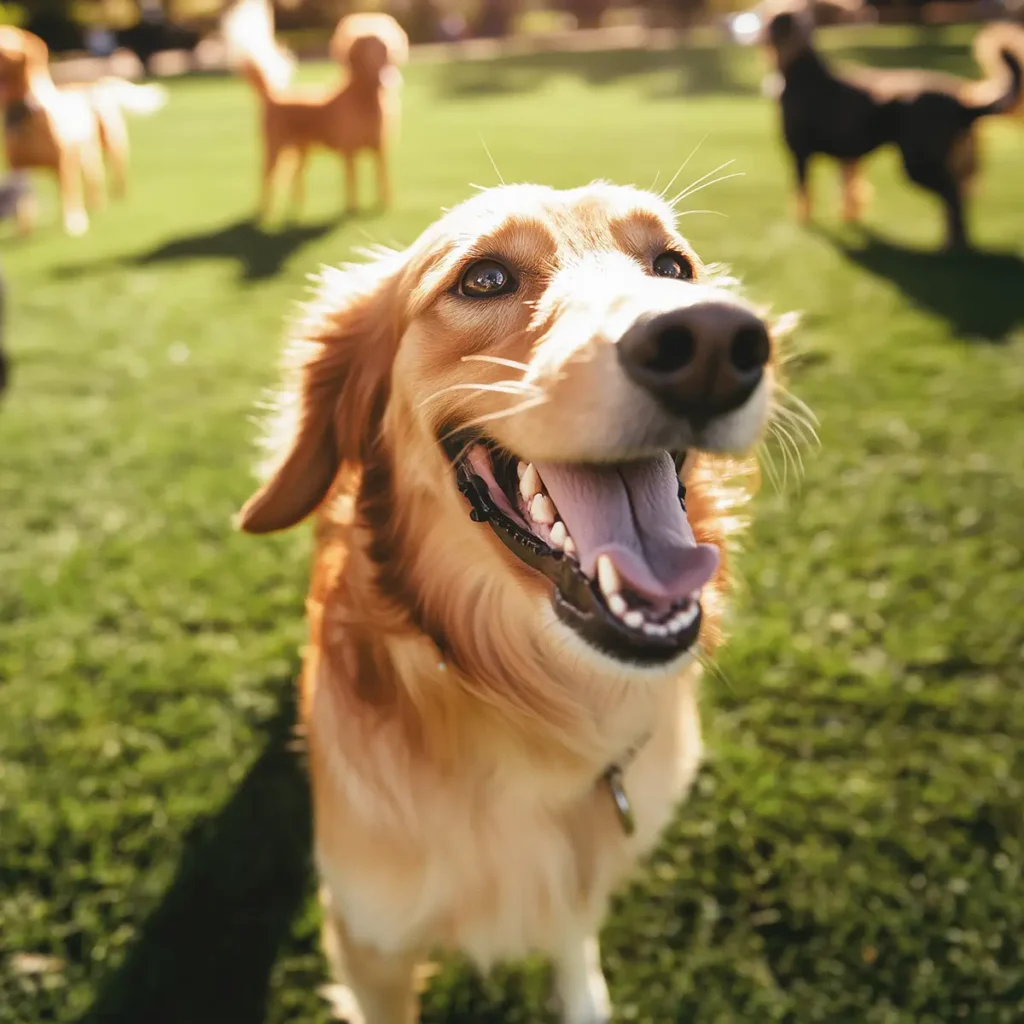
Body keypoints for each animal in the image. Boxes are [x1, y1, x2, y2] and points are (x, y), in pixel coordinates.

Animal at [0, 27, 165, 237]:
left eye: (5, 42)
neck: (26, 114)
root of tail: (96, 84)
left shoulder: (64, 162)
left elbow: (69, 194)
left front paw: (73, 224)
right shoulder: (17, 168)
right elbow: (24, 205)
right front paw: (24, 231)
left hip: (111, 143)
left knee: (114, 174)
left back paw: (115, 200)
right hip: (86, 153)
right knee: (94, 176)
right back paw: (94, 206)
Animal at [223, 1, 407, 218]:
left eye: (385, 49)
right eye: (367, 50)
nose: (387, 77)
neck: (364, 100)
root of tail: (273, 96)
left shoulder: (380, 149)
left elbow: (382, 179)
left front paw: (383, 206)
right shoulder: (349, 152)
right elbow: (352, 182)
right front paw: (352, 210)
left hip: (301, 150)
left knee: (294, 176)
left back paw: (295, 211)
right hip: (274, 148)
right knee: (268, 178)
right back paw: (265, 212)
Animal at [239, 184, 790, 1024]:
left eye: (673, 266)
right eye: (485, 278)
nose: (712, 344)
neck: (534, 713)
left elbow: (574, 948)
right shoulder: (367, 940)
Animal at [770, 14, 1024, 251]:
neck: (802, 69)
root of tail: (960, 101)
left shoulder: (800, 153)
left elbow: (803, 194)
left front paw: (804, 225)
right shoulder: (846, 157)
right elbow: (849, 194)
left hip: (919, 163)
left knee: (953, 198)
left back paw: (953, 246)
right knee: (956, 200)